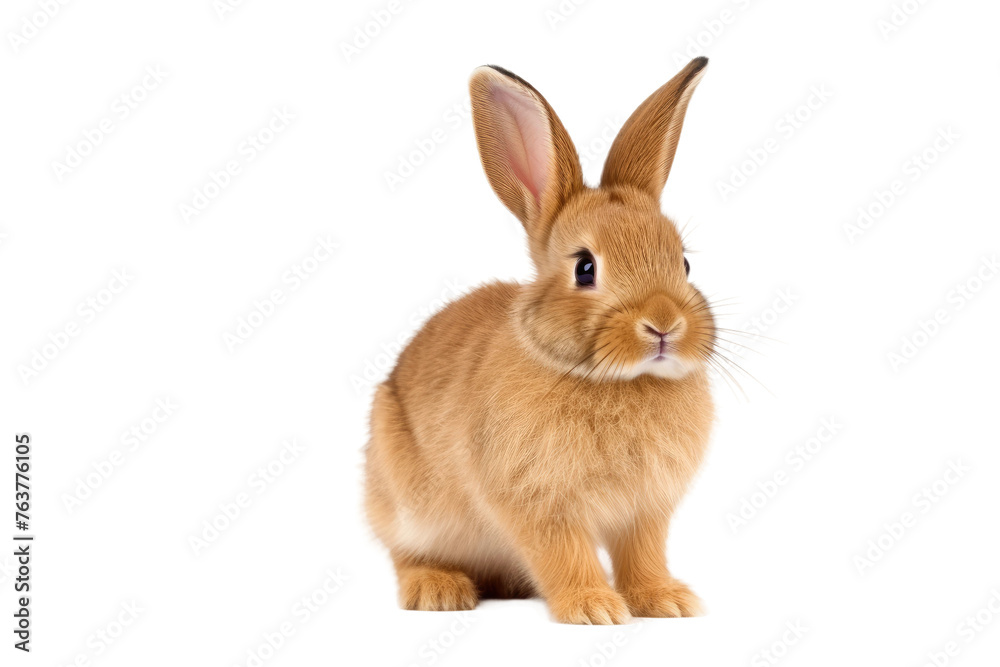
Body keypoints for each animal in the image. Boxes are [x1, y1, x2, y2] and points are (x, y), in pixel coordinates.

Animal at [364, 57, 715, 624]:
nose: (663, 323)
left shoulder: (645, 511)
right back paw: (438, 591)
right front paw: (594, 608)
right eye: (585, 267)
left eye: (683, 262)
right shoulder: (537, 502)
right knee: (406, 552)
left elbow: (643, 555)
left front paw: (667, 600)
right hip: (406, 503)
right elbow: (564, 553)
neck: (612, 380)